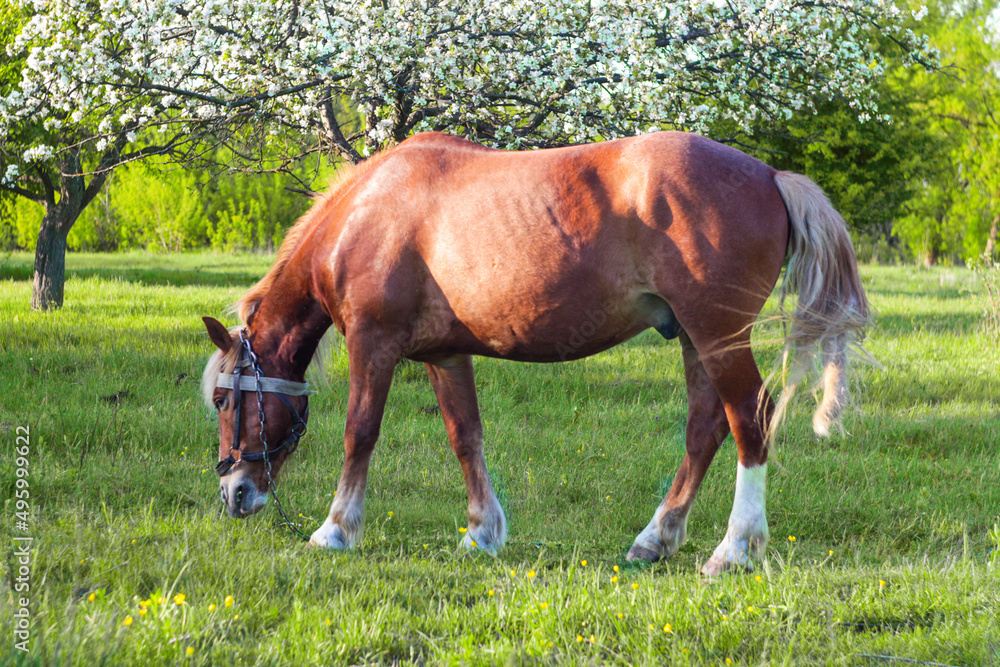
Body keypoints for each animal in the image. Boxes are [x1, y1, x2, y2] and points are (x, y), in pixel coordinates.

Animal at [201, 131, 870, 575]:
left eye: (224, 400)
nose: (234, 493)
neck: (368, 212)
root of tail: (770, 176)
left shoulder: (374, 344)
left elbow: (359, 433)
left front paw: (335, 529)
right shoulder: (445, 355)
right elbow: (465, 436)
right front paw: (482, 532)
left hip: (716, 333)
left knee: (750, 420)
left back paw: (734, 549)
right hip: (694, 337)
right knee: (705, 428)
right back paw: (656, 539)